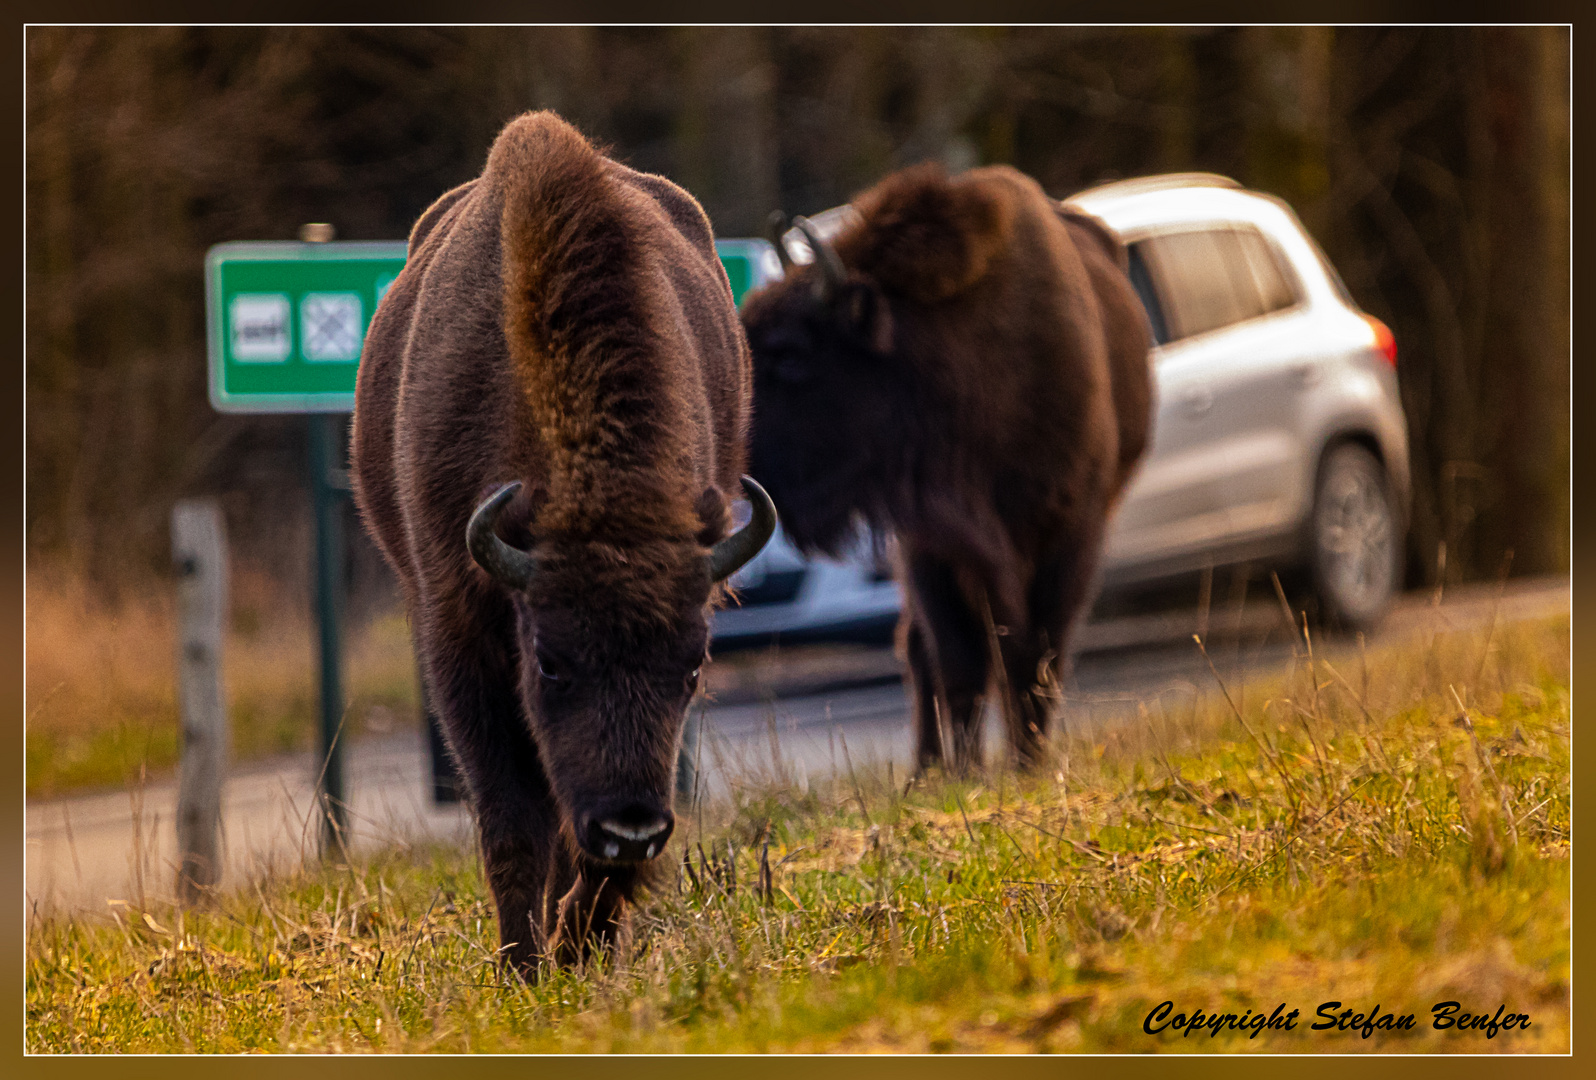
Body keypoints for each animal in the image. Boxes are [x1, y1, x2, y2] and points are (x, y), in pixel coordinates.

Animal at [349, 111, 772, 969]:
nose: (630, 828)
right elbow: (513, 817)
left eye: (693, 664)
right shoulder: (463, 631)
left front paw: (583, 943)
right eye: (551, 660)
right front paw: (523, 965)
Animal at [740, 161, 1155, 775]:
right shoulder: (931, 542)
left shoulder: (1071, 529)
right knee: (921, 647)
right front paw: (963, 773)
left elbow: (1036, 650)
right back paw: (926, 769)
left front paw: (1027, 763)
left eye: (791, 352)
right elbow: (959, 656)